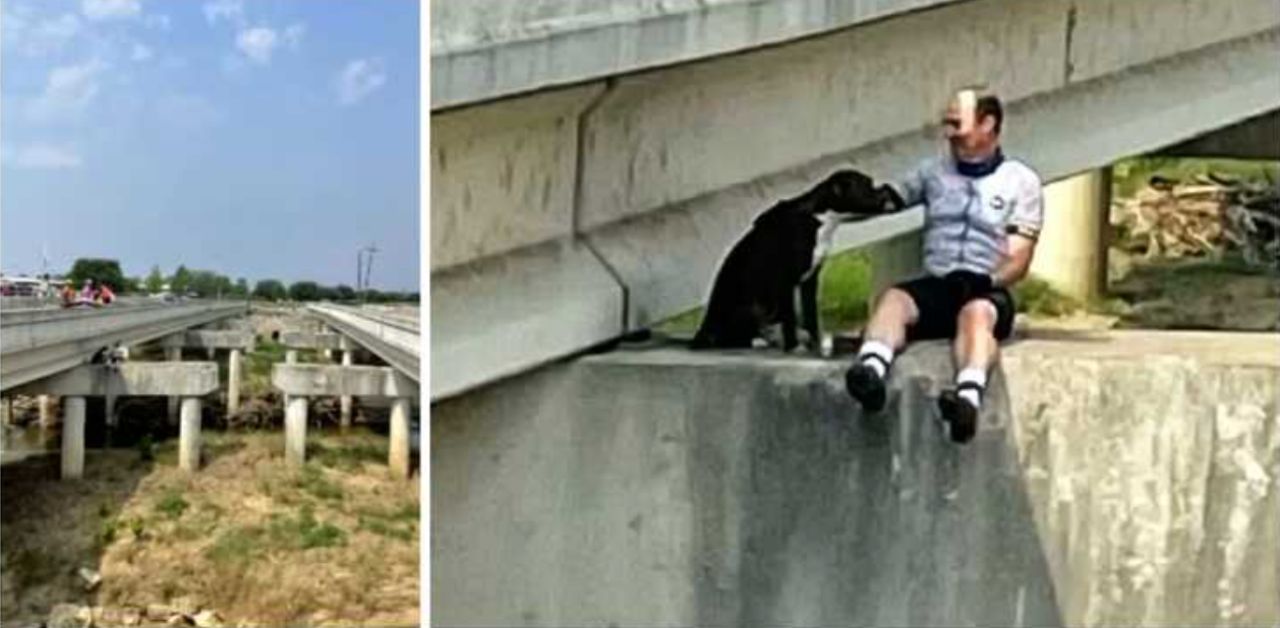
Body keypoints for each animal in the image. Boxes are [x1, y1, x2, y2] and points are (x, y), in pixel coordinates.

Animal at [691, 170, 901, 350]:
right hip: (755, 306)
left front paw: (815, 341)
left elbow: (811, 314)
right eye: (868, 186)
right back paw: (757, 341)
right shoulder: (785, 282)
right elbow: (790, 318)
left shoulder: (810, 280)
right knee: (729, 339)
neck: (819, 217)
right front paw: (793, 346)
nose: (885, 189)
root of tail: (701, 333)